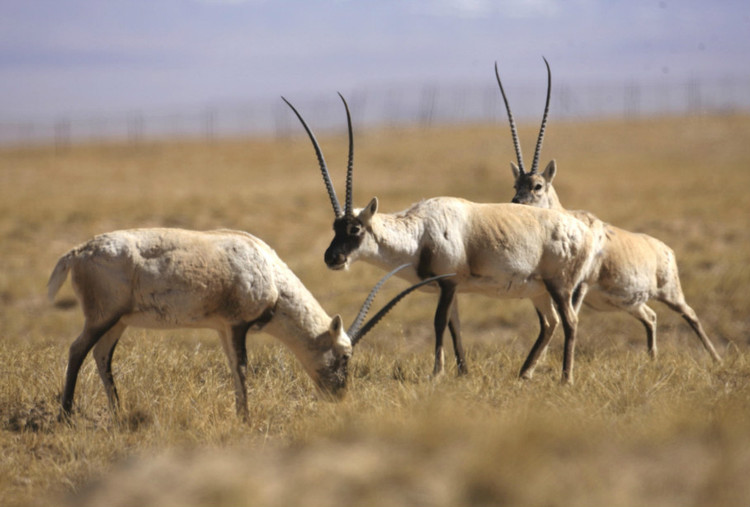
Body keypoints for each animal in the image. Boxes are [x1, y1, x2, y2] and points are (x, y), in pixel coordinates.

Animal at [50, 228, 450, 422]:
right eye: (345, 356)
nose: (339, 396)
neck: (269, 271)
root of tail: (78, 252)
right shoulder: (238, 325)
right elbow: (242, 369)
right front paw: (247, 419)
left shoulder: (223, 329)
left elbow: (232, 369)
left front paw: (241, 415)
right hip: (102, 317)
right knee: (78, 349)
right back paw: (66, 415)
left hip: (117, 323)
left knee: (102, 355)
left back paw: (118, 413)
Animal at [280, 93, 604, 382]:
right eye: (335, 227)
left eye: (355, 229)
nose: (332, 258)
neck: (420, 231)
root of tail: (585, 230)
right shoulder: (453, 288)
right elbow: (454, 326)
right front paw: (463, 373)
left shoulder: (447, 283)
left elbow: (438, 324)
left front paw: (436, 374)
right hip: (538, 291)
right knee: (550, 323)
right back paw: (524, 374)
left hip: (559, 285)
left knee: (570, 322)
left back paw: (565, 378)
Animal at [500, 57, 724, 364]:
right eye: (515, 184)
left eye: (537, 186)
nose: (516, 203)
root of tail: (665, 248)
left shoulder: (579, 286)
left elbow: (567, 318)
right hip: (630, 303)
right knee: (651, 317)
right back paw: (652, 360)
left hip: (670, 292)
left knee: (690, 314)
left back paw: (717, 359)